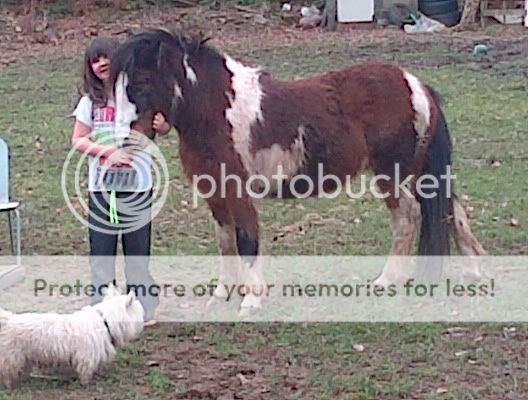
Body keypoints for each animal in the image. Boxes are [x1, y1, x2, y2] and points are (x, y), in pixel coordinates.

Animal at [0, 285, 144, 388]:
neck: (104, 320)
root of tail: (8, 319)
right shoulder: (86, 356)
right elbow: (85, 371)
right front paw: (86, 383)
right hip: (12, 356)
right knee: (6, 371)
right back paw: (9, 385)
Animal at [109, 29, 486, 315]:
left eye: (141, 82)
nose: (121, 141)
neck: (217, 109)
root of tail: (417, 85)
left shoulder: (238, 189)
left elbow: (247, 239)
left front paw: (251, 299)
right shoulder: (213, 191)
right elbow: (225, 240)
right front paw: (223, 292)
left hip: (394, 174)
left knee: (408, 218)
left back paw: (387, 280)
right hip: (420, 173)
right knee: (452, 212)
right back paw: (474, 272)